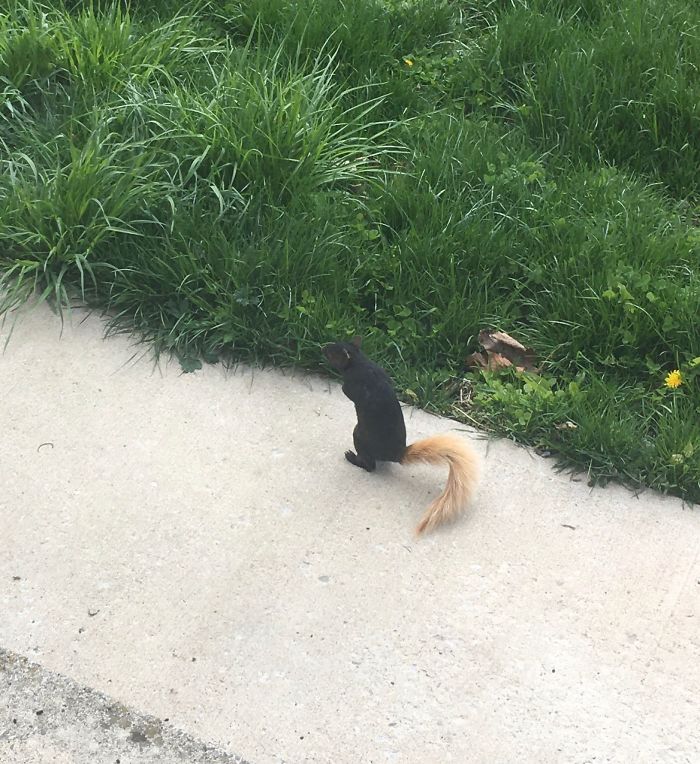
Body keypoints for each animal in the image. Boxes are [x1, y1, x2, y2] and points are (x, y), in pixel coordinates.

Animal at [323, 337, 479, 534]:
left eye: (333, 352)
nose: (323, 349)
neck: (360, 362)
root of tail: (396, 455)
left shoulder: (354, 384)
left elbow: (348, 391)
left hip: (359, 437)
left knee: (370, 466)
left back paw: (352, 458)